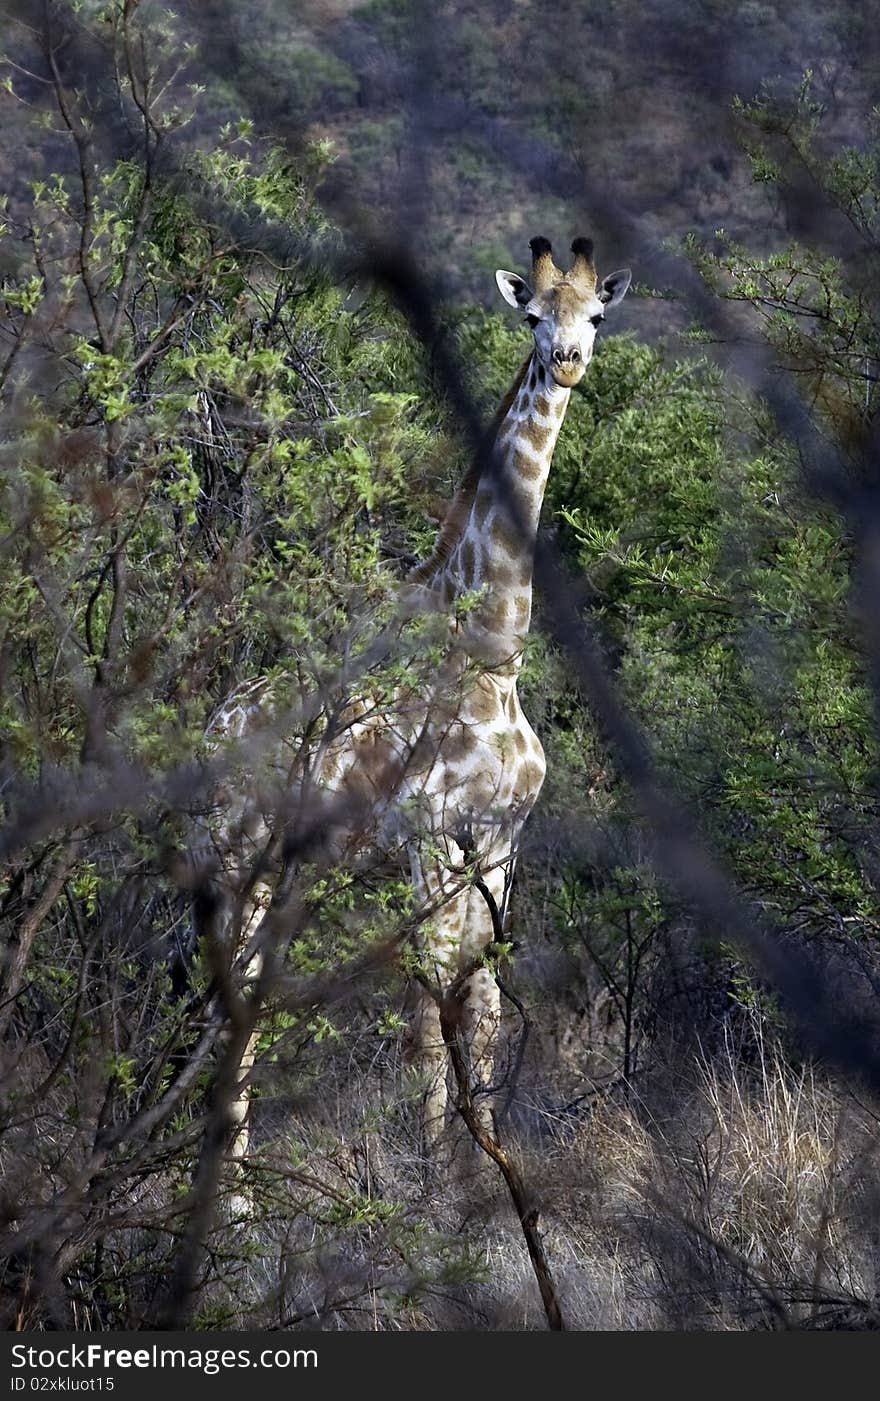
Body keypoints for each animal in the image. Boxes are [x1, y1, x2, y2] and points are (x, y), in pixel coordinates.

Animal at [201, 235, 627, 1176]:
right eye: (532, 315)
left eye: (596, 316)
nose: (567, 362)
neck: (494, 654)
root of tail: (210, 731)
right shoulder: (427, 832)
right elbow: (431, 1007)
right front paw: (431, 1183)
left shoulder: (502, 837)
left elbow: (487, 1002)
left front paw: (484, 1181)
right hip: (232, 860)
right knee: (231, 1006)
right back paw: (233, 1195)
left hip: (289, 869)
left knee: (248, 1006)